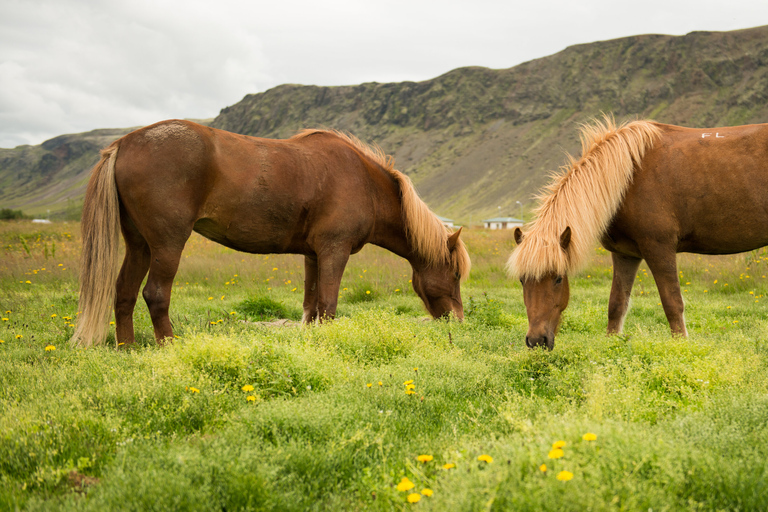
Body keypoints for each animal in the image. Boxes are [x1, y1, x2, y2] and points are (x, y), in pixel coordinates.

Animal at [70, 120, 468, 348]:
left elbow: (312, 306)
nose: (459, 322)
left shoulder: (313, 255)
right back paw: (168, 345)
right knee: (155, 294)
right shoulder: (334, 251)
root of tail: (125, 143)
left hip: (139, 244)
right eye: (455, 274)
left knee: (124, 292)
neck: (364, 181)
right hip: (167, 244)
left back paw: (127, 348)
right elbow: (329, 305)